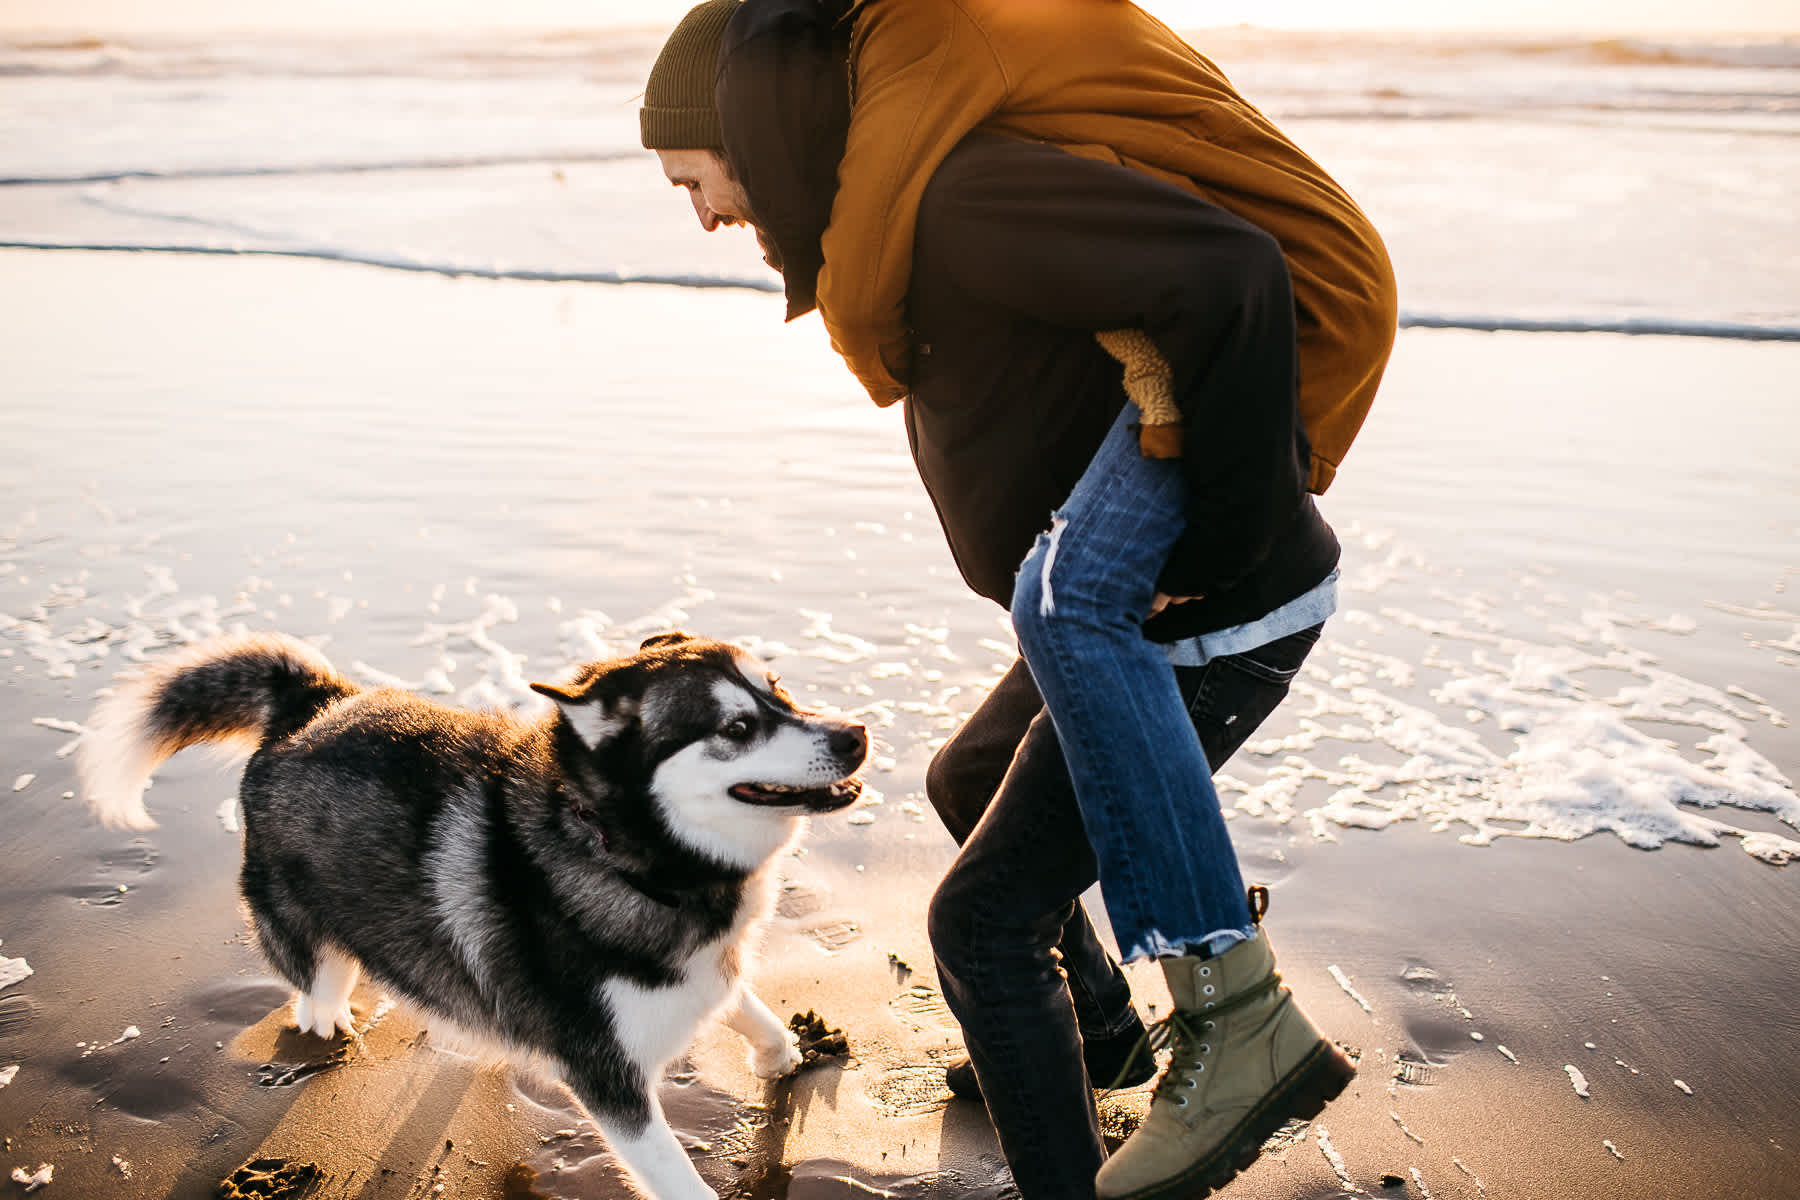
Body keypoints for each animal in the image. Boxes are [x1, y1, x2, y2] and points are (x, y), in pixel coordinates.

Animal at [81, 633, 867, 1194]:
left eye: (780, 690)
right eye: (736, 726)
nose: (855, 734)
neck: (630, 856)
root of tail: (313, 704)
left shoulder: (701, 971)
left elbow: (745, 1003)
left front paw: (781, 1052)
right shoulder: (606, 1077)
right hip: (314, 939)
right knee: (317, 985)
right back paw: (328, 1021)